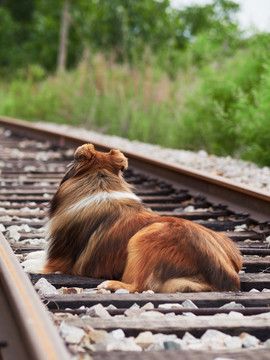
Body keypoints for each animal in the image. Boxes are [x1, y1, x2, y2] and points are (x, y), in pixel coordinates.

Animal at [42, 143, 243, 292]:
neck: (100, 183)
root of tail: (225, 275)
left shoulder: (57, 261)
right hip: (227, 242)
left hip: (143, 237)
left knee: (139, 286)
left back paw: (110, 284)